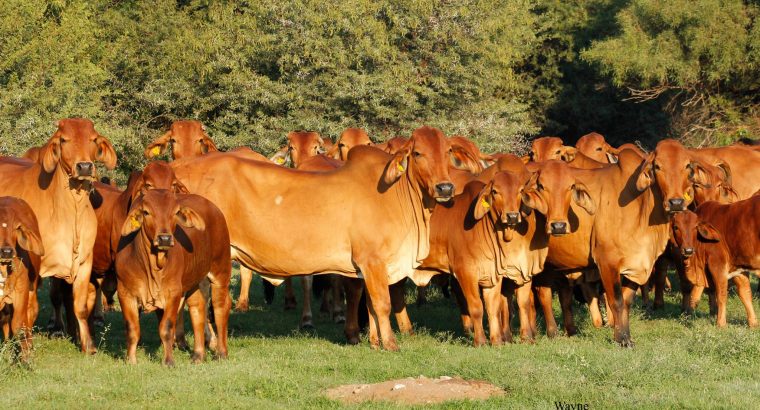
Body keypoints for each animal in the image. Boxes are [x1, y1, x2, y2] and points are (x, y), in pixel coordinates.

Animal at [0, 197, 44, 362]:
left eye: (17, 227)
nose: (7, 251)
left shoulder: (21, 292)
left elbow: (18, 326)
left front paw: (25, 361)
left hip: (31, 293)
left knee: (28, 318)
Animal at [115, 189, 231, 365]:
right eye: (146, 212)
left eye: (176, 212)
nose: (165, 238)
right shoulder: (124, 292)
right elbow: (132, 329)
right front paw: (131, 360)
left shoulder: (173, 293)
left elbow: (167, 327)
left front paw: (168, 361)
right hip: (195, 280)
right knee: (198, 309)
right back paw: (198, 355)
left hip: (221, 271)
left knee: (220, 308)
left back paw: (221, 353)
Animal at [171, 126, 459, 350]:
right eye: (418, 153)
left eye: (447, 152)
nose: (445, 187)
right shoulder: (373, 261)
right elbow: (382, 303)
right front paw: (390, 344)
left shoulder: (368, 267)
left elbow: (370, 305)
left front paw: (375, 341)